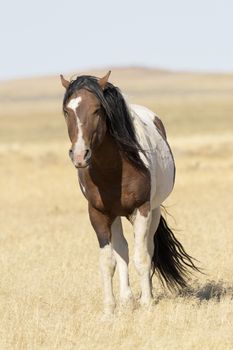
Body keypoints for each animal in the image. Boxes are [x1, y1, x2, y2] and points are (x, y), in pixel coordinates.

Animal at [59, 71, 198, 314]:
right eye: (67, 111)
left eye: (97, 109)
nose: (79, 155)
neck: (114, 168)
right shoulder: (98, 213)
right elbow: (108, 261)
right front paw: (109, 310)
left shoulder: (142, 210)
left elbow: (142, 257)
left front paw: (147, 303)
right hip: (115, 215)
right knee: (122, 249)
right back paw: (126, 298)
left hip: (153, 211)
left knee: (148, 248)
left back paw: (144, 294)